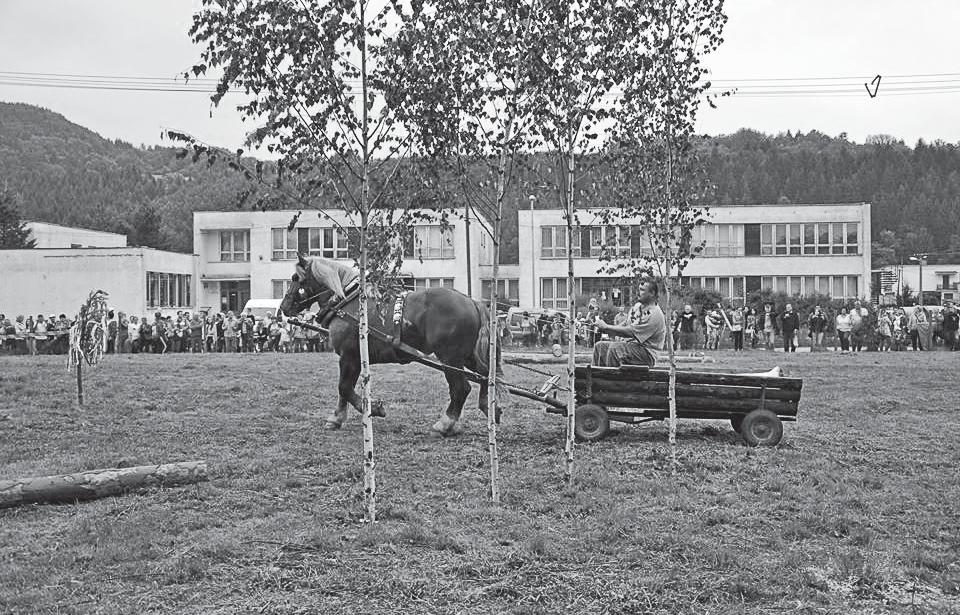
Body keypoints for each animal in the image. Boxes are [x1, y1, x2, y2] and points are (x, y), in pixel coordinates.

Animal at [280, 255, 498, 438]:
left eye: (295, 278)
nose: (283, 307)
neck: (347, 301)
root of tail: (472, 302)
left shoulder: (349, 356)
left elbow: (344, 387)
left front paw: (373, 408)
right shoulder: (354, 359)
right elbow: (344, 389)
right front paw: (337, 418)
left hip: (450, 358)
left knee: (461, 389)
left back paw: (444, 424)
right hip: (469, 356)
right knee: (487, 377)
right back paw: (491, 408)